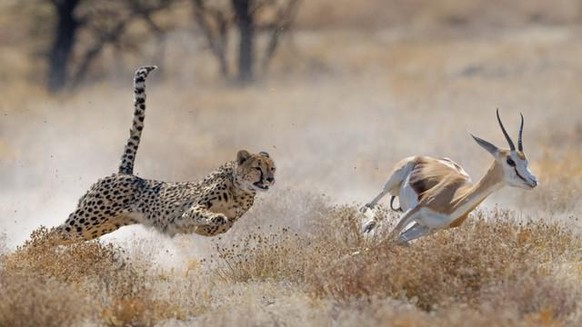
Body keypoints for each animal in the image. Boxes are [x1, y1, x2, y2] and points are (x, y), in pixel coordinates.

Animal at [52, 65, 276, 243]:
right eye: (258, 168)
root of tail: (124, 173)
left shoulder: (231, 218)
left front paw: (209, 227)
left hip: (97, 227)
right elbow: (205, 213)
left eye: (272, 168)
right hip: (88, 218)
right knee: (50, 234)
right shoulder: (192, 208)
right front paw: (213, 219)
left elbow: (224, 226)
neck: (241, 190)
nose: (270, 179)